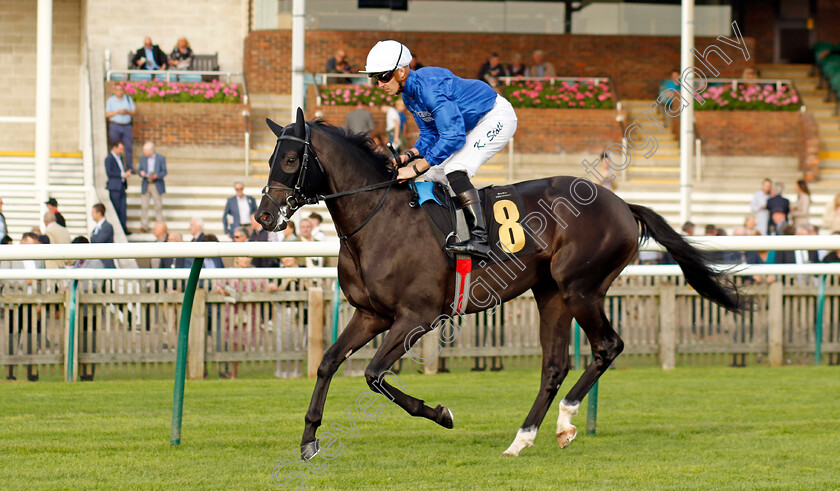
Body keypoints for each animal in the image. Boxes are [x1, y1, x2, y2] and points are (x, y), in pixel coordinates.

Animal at [254, 109, 740, 460]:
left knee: (607, 347)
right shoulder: (371, 313)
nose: (263, 216)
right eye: (271, 159)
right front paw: (309, 440)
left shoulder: (417, 316)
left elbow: (374, 374)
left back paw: (566, 422)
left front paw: (441, 413)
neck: (378, 217)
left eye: (292, 160)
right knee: (553, 365)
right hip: (551, 293)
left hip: (580, 288)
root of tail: (622, 203)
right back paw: (522, 439)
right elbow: (328, 362)